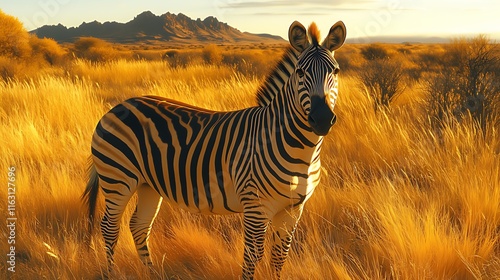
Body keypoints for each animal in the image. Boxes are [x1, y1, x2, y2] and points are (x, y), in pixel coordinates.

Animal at [83, 20, 348, 278]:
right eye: (300, 72)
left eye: (335, 71)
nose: (322, 119)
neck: (301, 151)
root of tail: (118, 106)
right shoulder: (255, 206)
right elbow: (252, 256)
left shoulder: (293, 209)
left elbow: (279, 257)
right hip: (118, 179)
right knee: (109, 227)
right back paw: (110, 273)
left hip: (148, 184)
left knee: (139, 226)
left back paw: (152, 274)